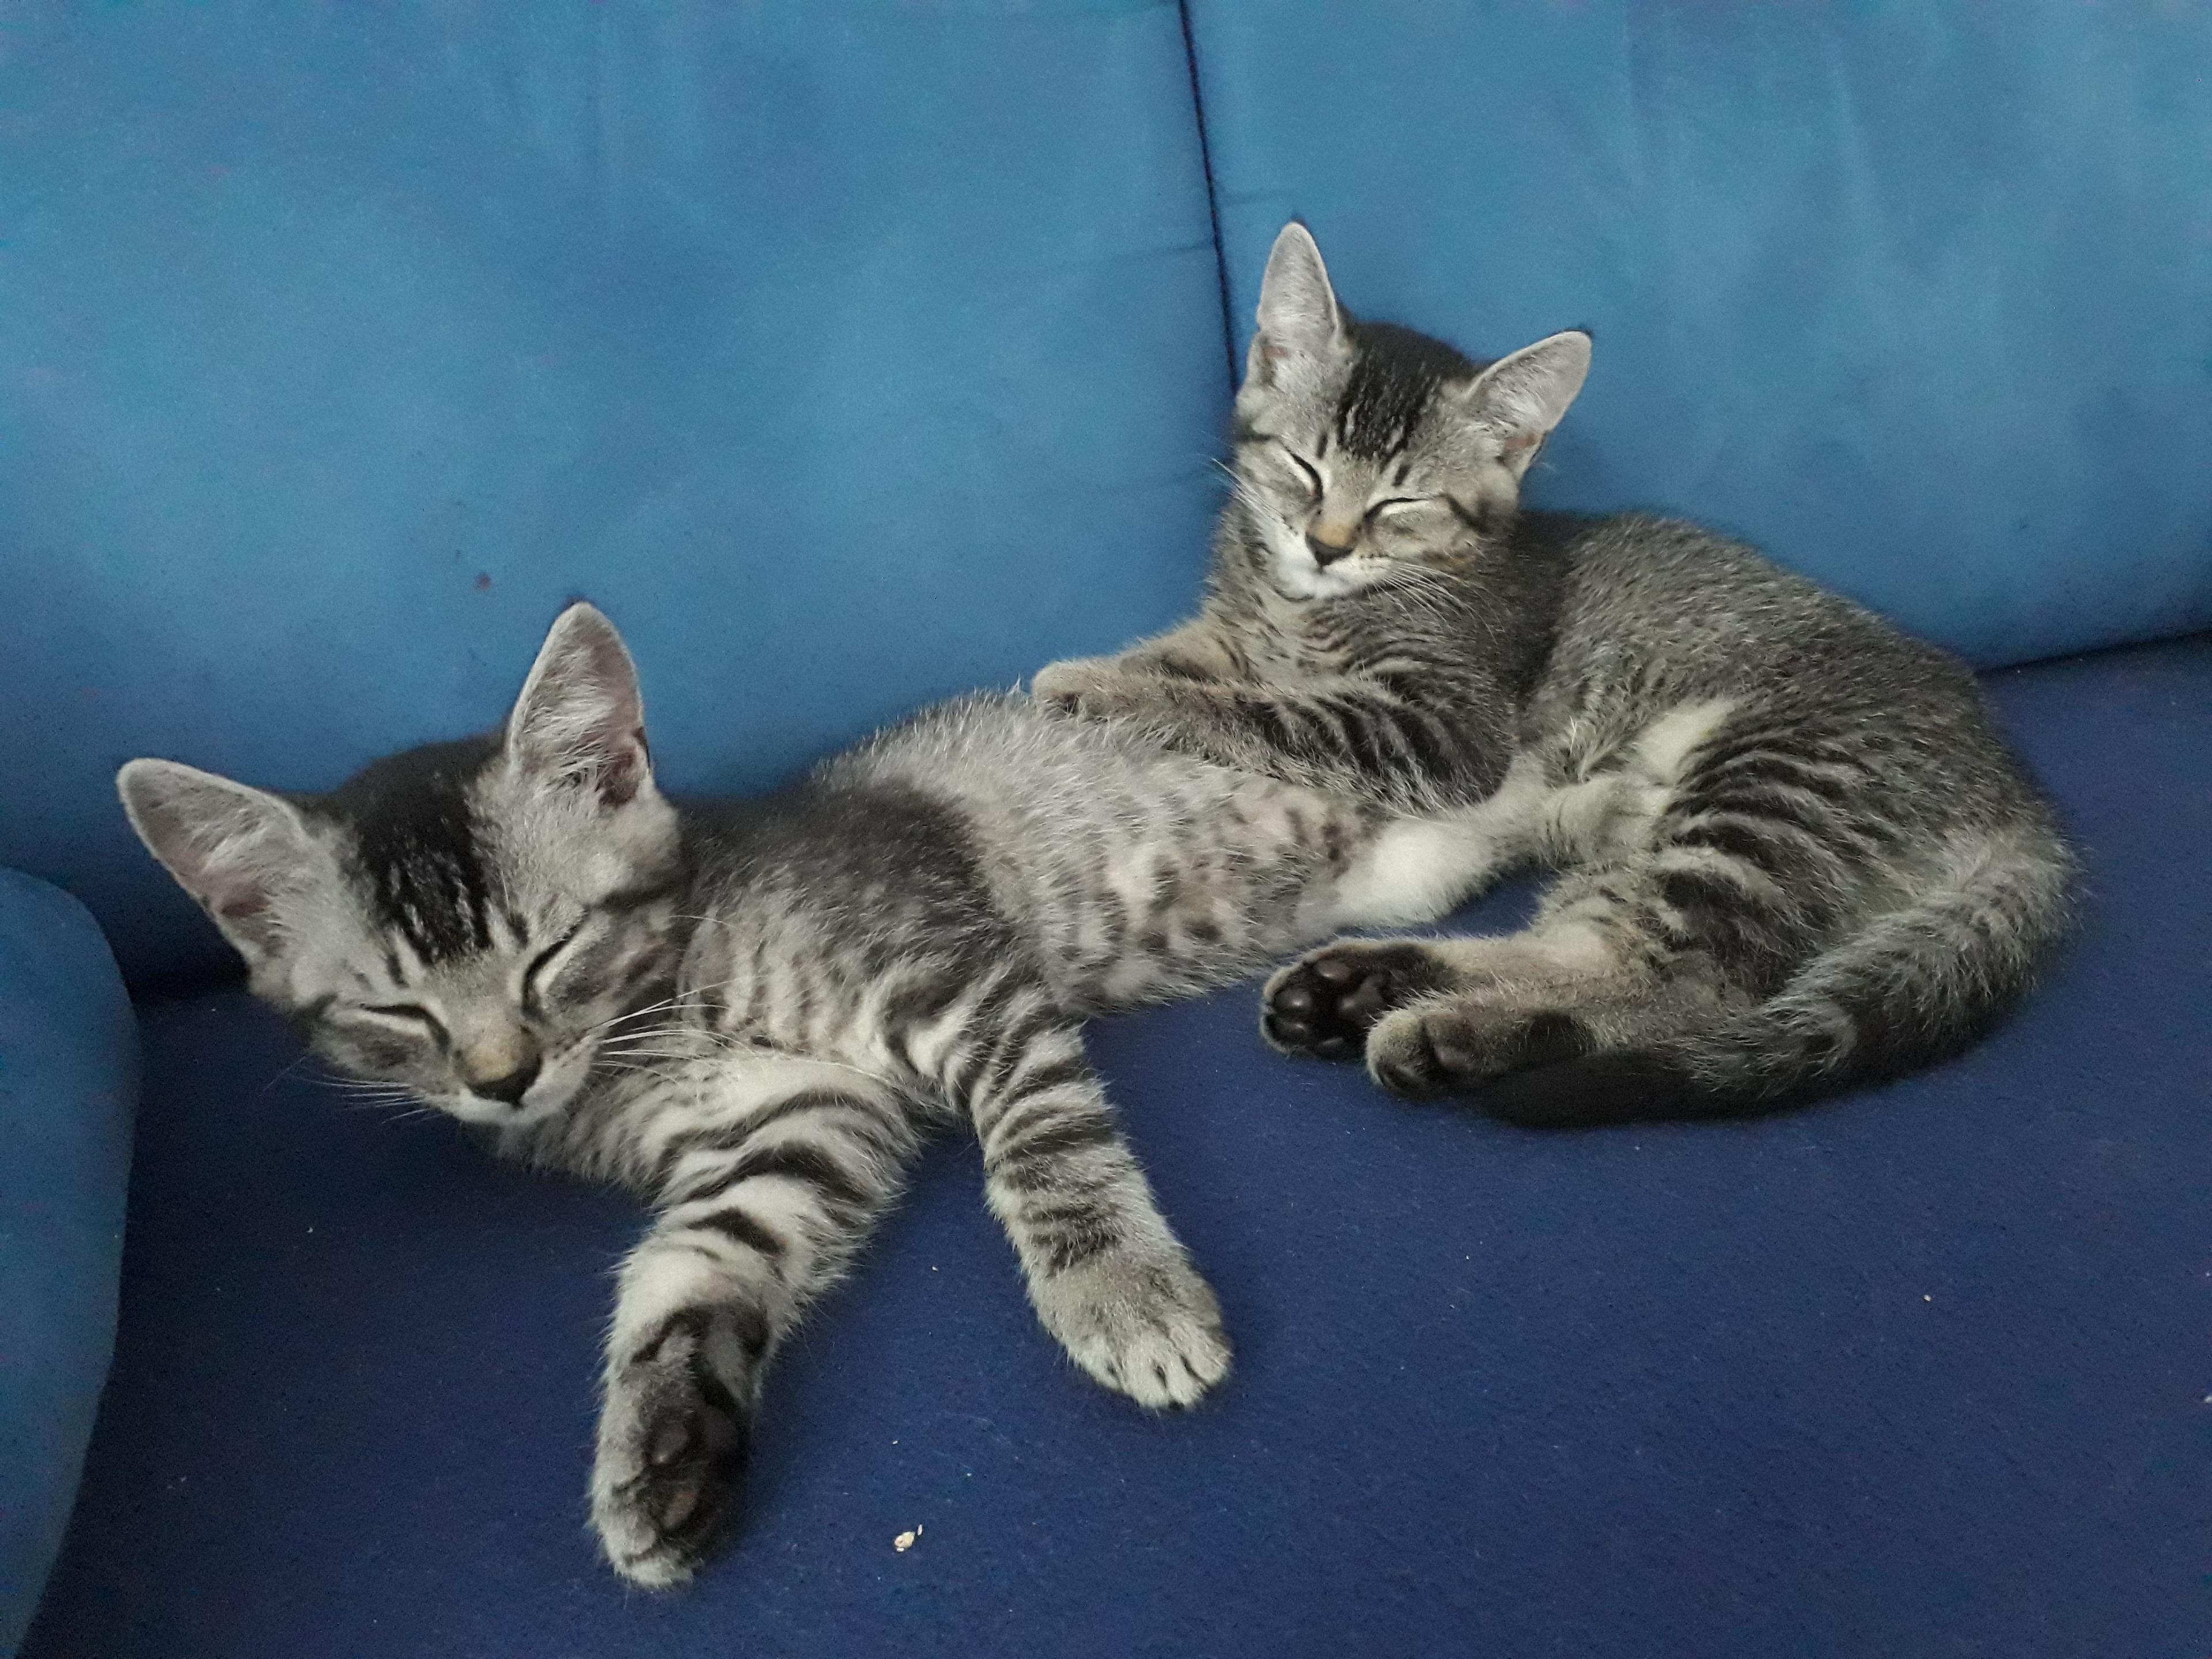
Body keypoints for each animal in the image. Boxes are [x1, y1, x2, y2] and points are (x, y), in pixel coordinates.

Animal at [117, 603, 1498, 1587]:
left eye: (551, 953)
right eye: (397, 1015)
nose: (502, 1080)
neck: (657, 1020)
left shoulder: (958, 977)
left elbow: (1044, 1133)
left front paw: (1118, 1291)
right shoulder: (792, 1124)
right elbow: (693, 1260)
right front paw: (664, 1442)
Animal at [1034, 222, 2076, 1126]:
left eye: (1401, 504)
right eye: (1304, 467)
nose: (1326, 545)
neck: (1304, 605)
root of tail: (2021, 802)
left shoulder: (1445, 728)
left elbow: (1273, 712)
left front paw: (1104, 690)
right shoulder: (1240, 629)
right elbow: (1211, 659)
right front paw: (1118, 667)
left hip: (1764, 786)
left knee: (1688, 984)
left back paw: (1447, 1034)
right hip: (1641, 843)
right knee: (1591, 942)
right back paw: (1365, 988)